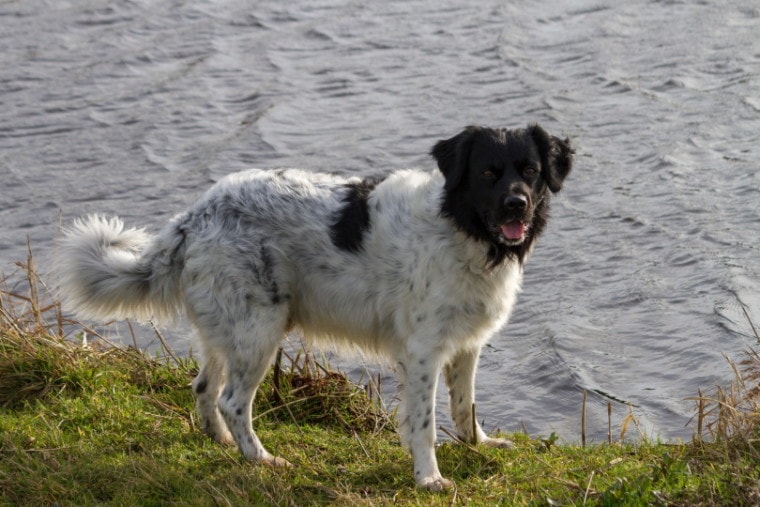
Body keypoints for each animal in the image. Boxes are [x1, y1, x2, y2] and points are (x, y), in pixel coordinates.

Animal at [56, 125, 572, 490]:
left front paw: (480, 445)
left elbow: (465, 406)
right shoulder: (423, 350)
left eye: (529, 171)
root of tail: (194, 216)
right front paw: (429, 478)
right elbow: (424, 423)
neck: (461, 226)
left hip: (229, 330)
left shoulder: (465, 345)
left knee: (204, 387)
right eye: (488, 173)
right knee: (231, 400)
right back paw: (261, 459)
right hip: (260, 331)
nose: (517, 205)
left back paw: (219, 442)